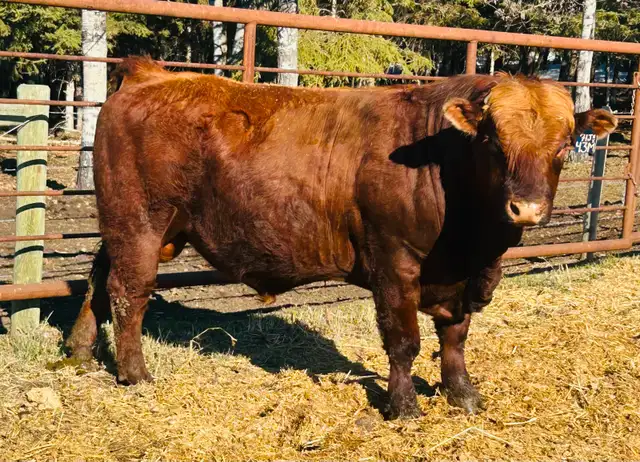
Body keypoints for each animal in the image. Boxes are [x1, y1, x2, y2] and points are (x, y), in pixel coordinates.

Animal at [65, 57, 616, 419]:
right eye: (494, 141)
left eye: (565, 144)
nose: (527, 208)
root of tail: (152, 74)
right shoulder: (393, 262)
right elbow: (404, 341)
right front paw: (403, 406)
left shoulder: (462, 279)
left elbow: (455, 338)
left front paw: (463, 395)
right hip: (140, 220)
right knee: (128, 292)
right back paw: (135, 374)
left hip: (131, 227)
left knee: (97, 280)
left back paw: (79, 351)